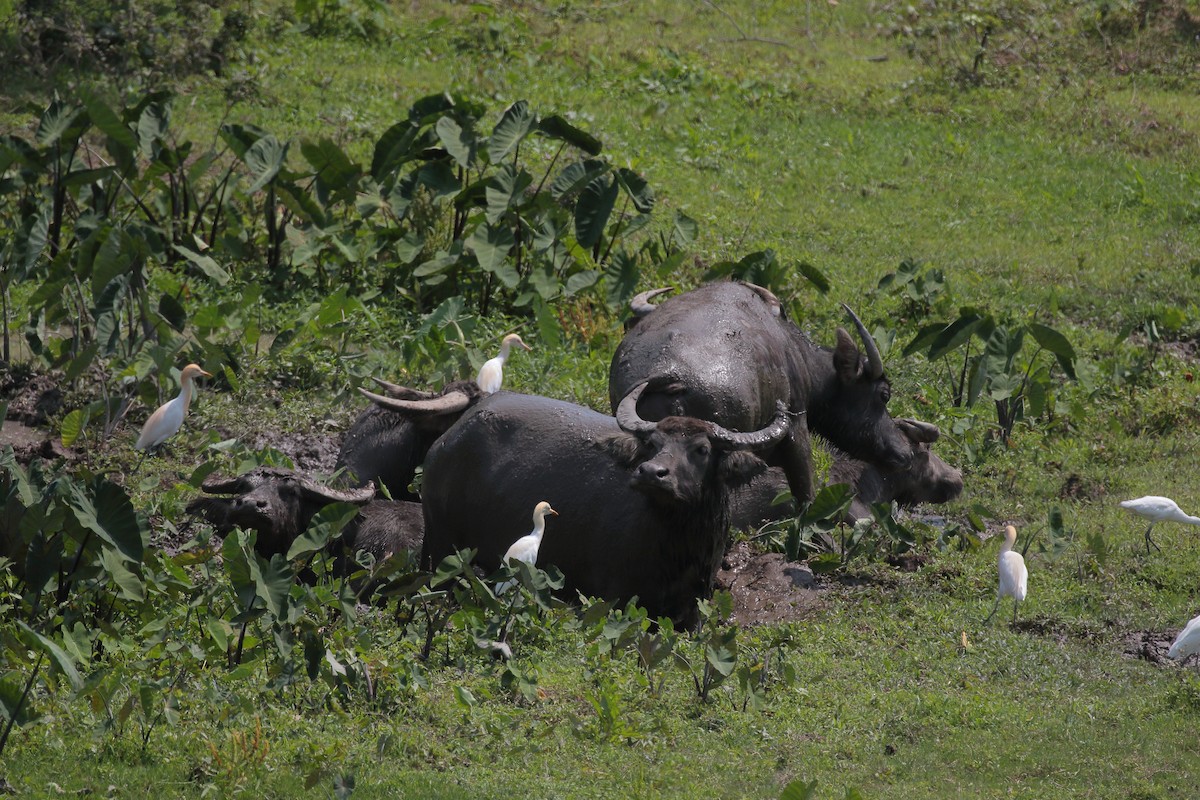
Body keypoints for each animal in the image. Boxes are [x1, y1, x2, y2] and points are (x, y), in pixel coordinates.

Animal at [417, 383, 792, 628]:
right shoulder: (615, 599)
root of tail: (446, 441)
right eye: (653, 443)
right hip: (442, 552)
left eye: (702, 449)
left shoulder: (694, 607)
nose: (651, 473)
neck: (675, 548)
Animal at [614, 283, 912, 506]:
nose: (906, 452)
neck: (799, 357)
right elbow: (806, 495)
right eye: (884, 395)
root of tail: (672, 377)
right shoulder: (796, 427)